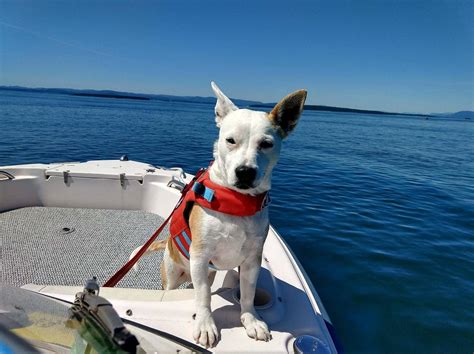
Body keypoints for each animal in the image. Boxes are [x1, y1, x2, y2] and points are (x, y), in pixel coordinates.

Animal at [131, 81, 306, 348]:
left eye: (266, 144)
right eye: (230, 140)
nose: (245, 172)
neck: (236, 202)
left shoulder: (252, 260)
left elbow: (248, 293)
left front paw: (251, 320)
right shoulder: (201, 257)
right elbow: (203, 297)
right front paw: (205, 325)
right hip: (172, 274)